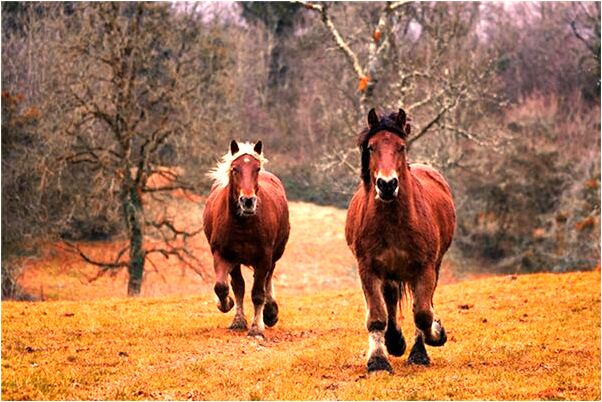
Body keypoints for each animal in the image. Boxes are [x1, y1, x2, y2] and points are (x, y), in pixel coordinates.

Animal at [203, 141, 290, 336]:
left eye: (256, 169)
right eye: (235, 169)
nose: (248, 201)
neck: (242, 224)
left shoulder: (263, 257)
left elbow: (258, 293)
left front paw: (257, 328)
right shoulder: (223, 255)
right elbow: (223, 287)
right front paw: (228, 307)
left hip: (274, 255)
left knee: (268, 278)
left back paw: (270, 313)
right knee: (239, 286)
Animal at [344, 107, 452, 374]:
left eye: (401, 147)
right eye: (372, 147)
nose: (387, 184)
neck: (393, 221)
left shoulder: (425, 268)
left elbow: (422, 313)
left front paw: (435, 335)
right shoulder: (368, 269)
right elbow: (377, 316)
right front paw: (378, 360)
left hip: (432, 267)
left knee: (420, 304)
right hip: (390, 273)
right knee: (391, 301)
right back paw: (393, 341)